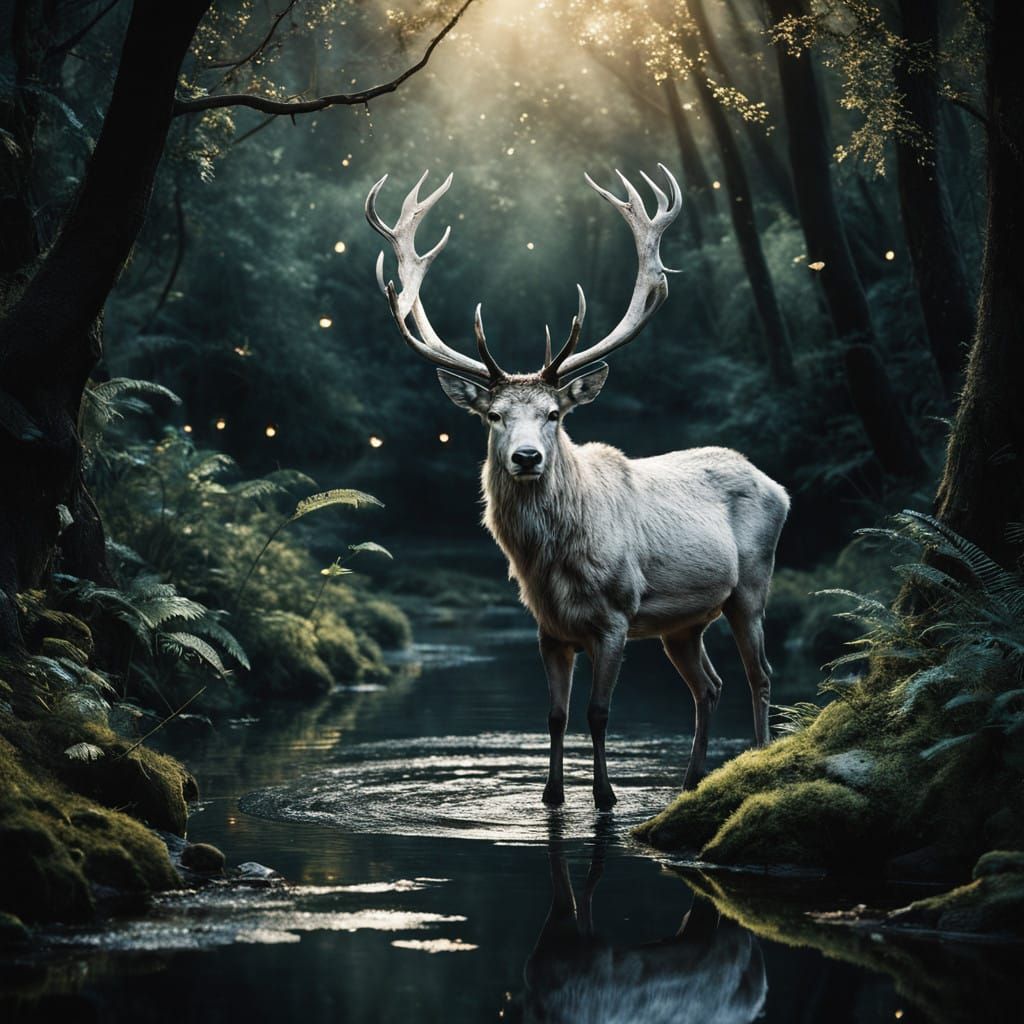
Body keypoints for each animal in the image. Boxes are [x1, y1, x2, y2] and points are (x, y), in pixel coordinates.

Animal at [365, 165, 789, 810]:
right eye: (494, 416)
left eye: (553, 414)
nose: (527, 457)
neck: (554, 565)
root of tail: (777, 486)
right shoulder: (547, 629)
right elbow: (555, 716)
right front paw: (551, 796)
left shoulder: (616, 615)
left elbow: (597, 712)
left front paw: (606, 797)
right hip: (683, 623)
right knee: (710, 686)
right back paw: (690, 779)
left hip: (751, 586)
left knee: (758, 675)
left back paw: (758, 762)